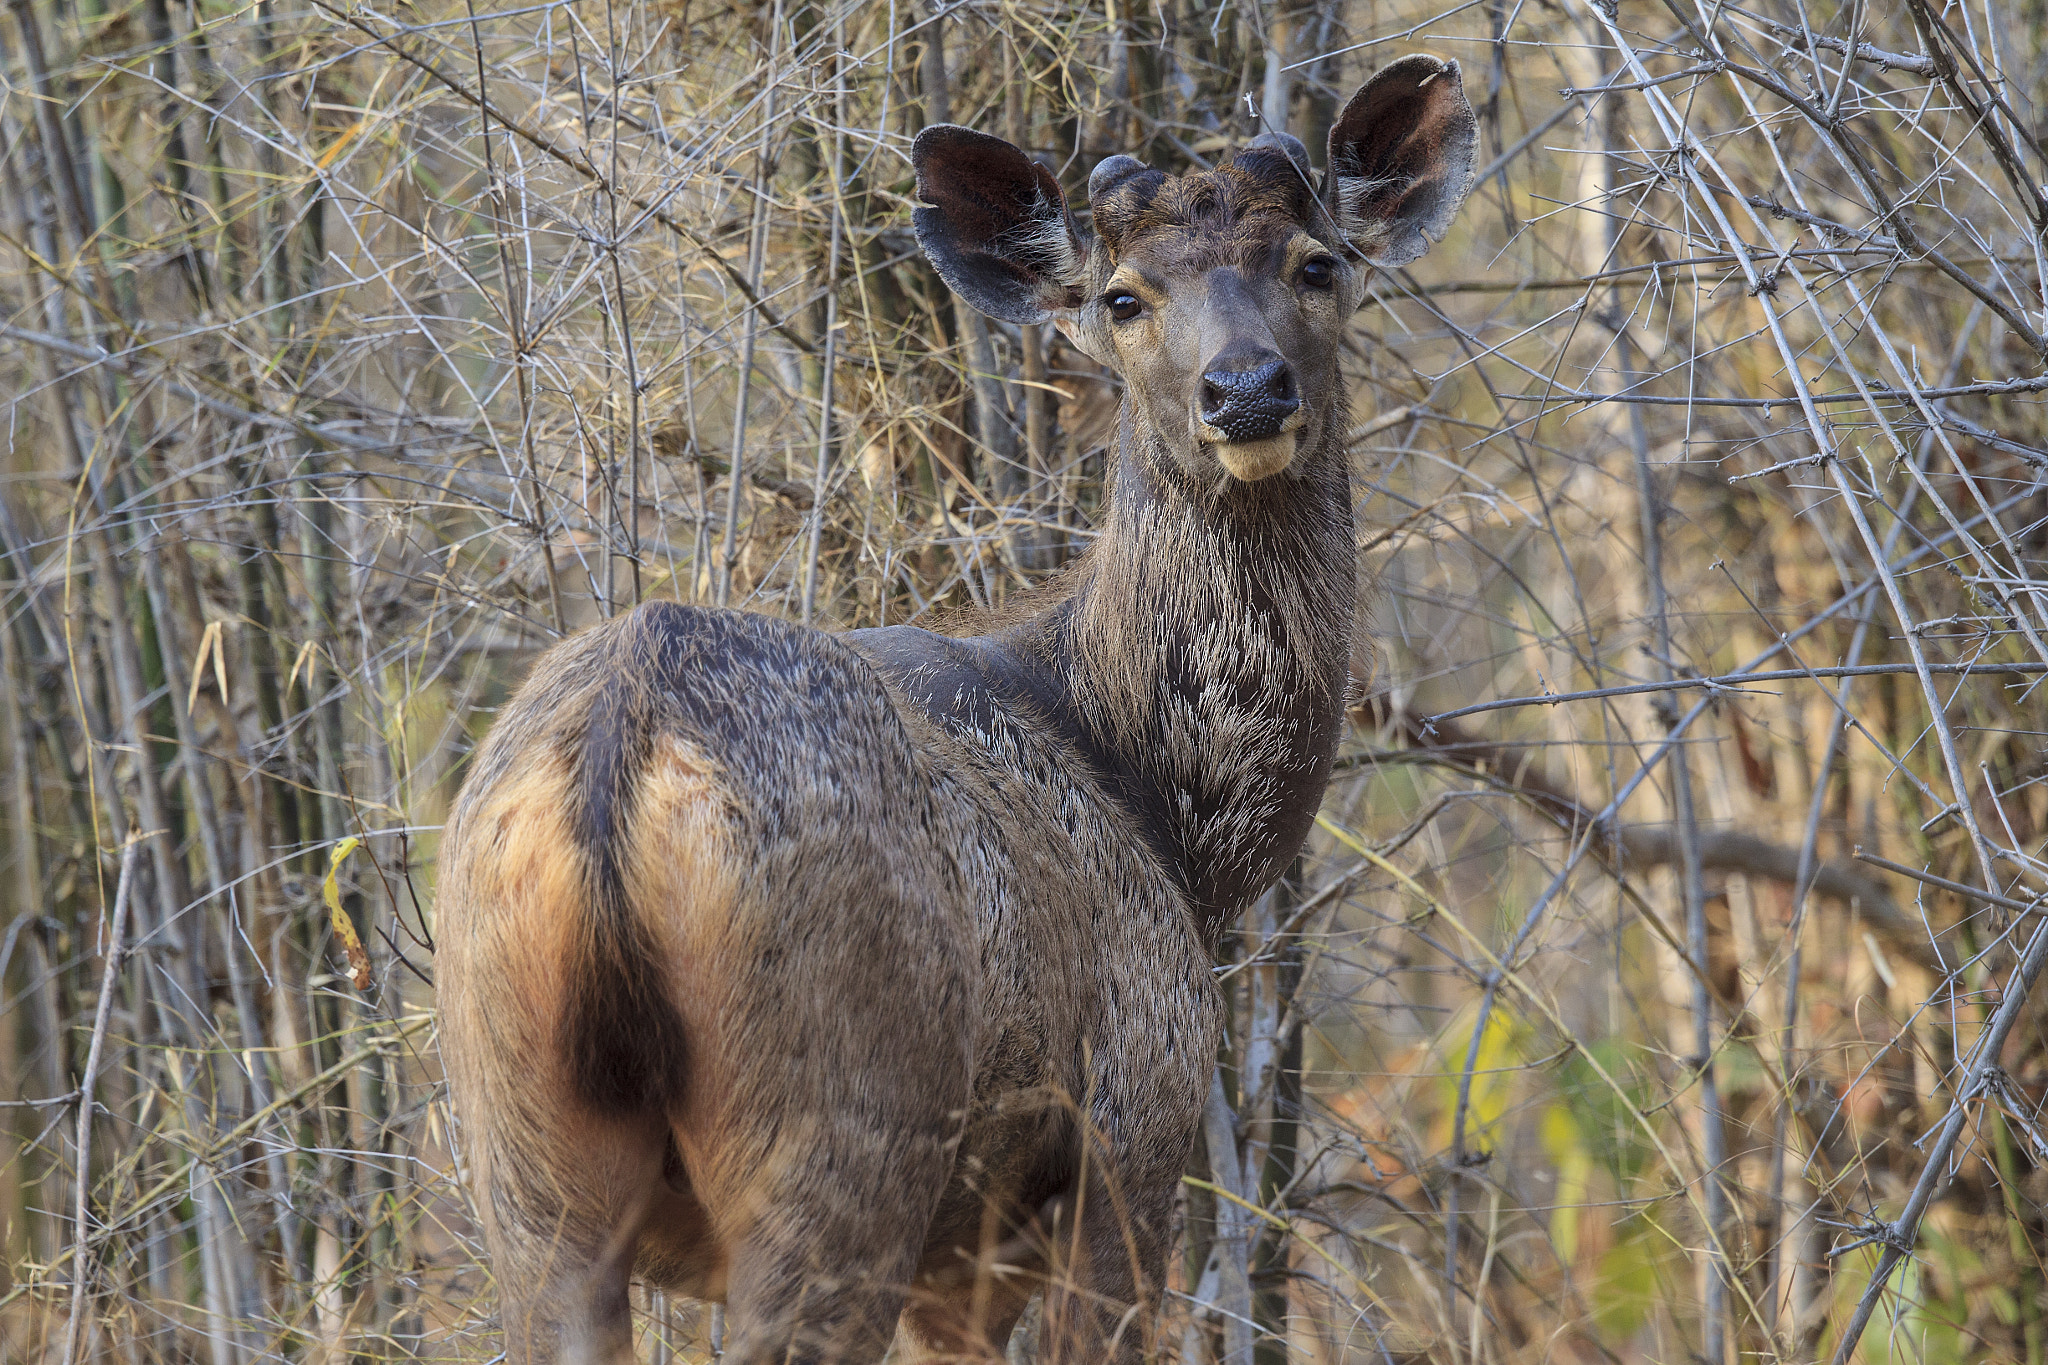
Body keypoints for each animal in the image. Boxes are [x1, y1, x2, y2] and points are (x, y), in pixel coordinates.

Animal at [440, 56, 1482, 1365]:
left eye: (1315, 262)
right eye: (1122, 299)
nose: (1244, 390)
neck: (1167, 825)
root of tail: (619, 755)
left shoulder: (964, 1265)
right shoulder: (1134, 1123)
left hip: (523, 1160)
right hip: (844, 1130)